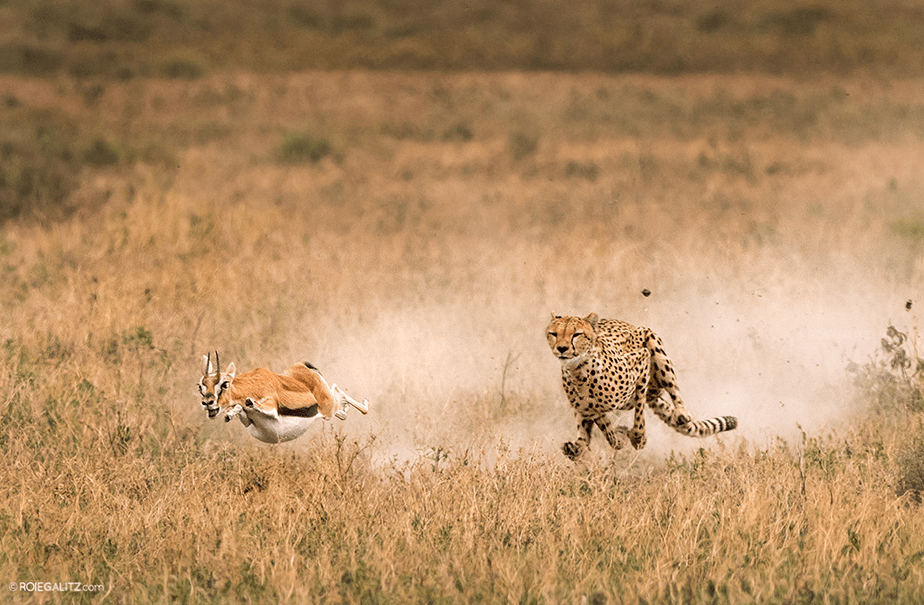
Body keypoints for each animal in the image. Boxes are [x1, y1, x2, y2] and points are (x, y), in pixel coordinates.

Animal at [548, 312, 736, 458]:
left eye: (576, 334)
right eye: (554, 334)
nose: (562, 348)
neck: (580, 370)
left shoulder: (642, 360)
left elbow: (638, 414)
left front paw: (637, 438)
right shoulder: (589, 408)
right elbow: (607, 429)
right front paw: (619, 437)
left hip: (652, 342)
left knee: (672, 389)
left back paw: (682, 412)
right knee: (584, 434)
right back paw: (576, 448)